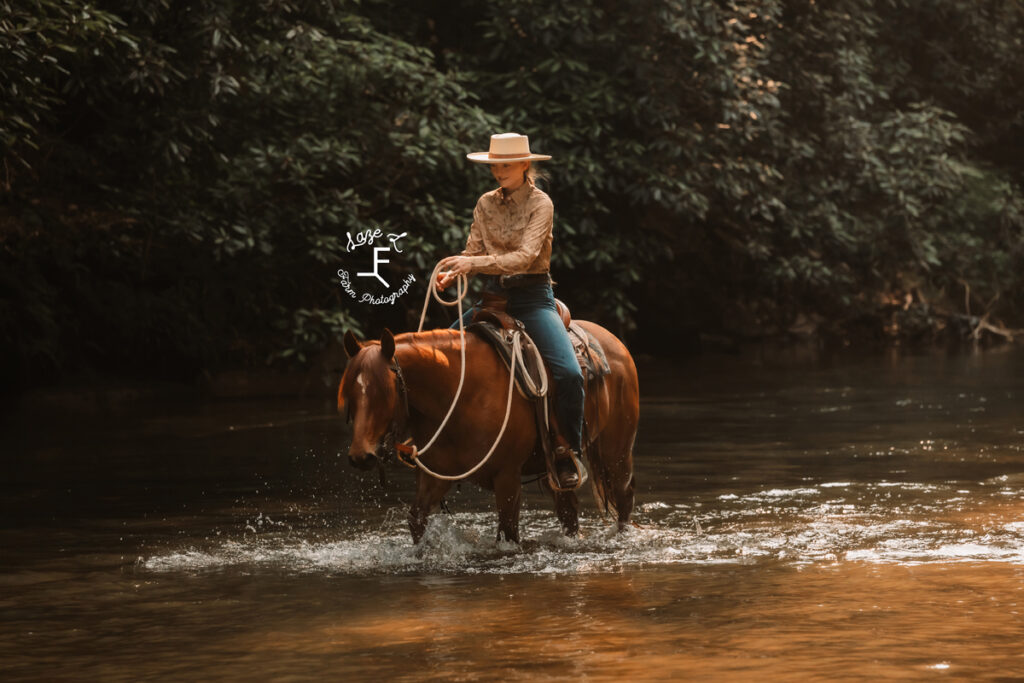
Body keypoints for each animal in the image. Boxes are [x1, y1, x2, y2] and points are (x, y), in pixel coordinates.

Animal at [339, 323, 634, 548]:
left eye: (383, 392)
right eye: (351, 393)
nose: (360, 456)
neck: (459, 395)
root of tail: (614, 341)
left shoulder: (507, 478)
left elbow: (508, 533)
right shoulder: (436, 476)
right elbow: (416, 521)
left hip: (616, 455)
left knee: (623, 500)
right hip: (554, 474)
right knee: (568, 511)